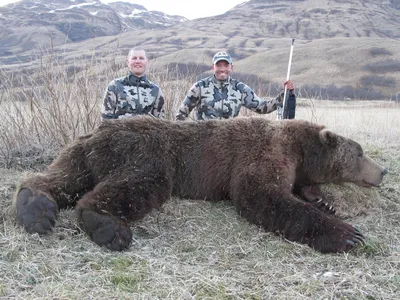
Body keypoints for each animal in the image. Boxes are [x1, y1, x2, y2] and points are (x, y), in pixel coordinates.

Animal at [11, 116, 388, 252]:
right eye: (360, 152)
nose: (383, 170)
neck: (298, 146)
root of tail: (96, 134)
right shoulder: (262, 153)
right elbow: (261, 196)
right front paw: (347, 234)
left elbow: (301, 190)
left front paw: (323, 200)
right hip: (149, 153)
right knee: (137, 185)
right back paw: (109, 227)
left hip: (79, 154)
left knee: (59, 178)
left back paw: (36, 210)